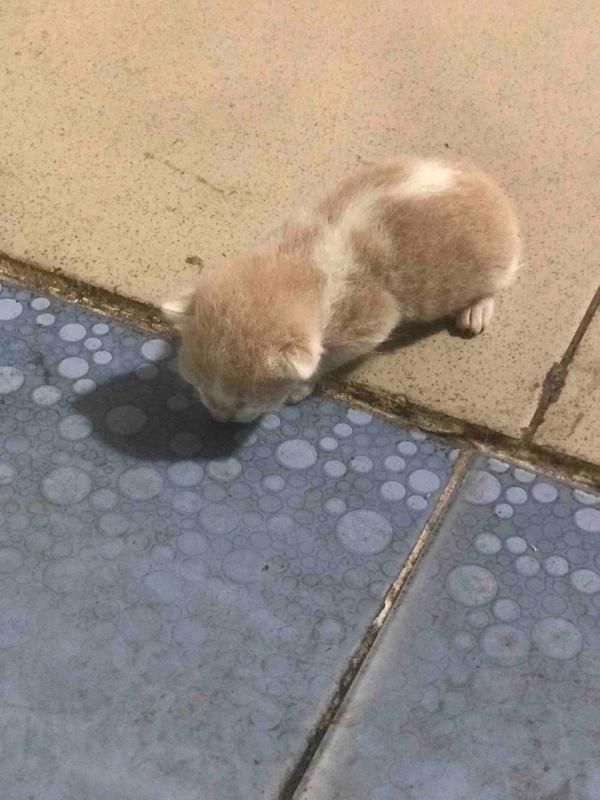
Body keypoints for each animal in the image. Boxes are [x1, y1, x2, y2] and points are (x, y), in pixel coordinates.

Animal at [162, 155, 521, 423]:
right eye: (197, 384)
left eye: (244, 400)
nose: (219, 417)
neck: (299, 258)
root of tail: (491, 188)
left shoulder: (369, 319)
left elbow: (332, 354)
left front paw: (302, 386)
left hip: (491, 265)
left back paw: (476, 310)